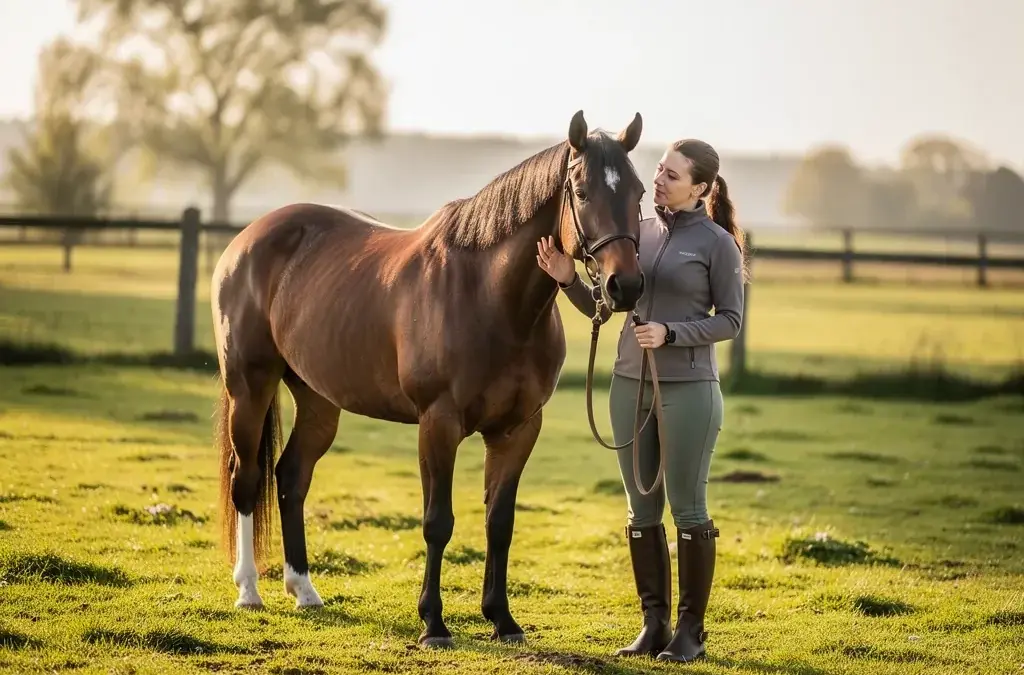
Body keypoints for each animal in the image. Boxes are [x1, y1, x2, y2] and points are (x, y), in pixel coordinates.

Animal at [210, 109, 647, 648]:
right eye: (582, 192)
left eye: (640, 191)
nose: (625, 286)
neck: (490, 298)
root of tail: (246, 239)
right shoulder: (438, 424)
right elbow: (438, 522)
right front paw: (433, 624)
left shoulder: (518, 429)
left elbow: (500, 522)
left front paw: (502, 619)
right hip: (250, 386)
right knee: (247, 478)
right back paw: (249, 590)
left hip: (318, 399)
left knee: (291, 476)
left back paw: (304, 590)